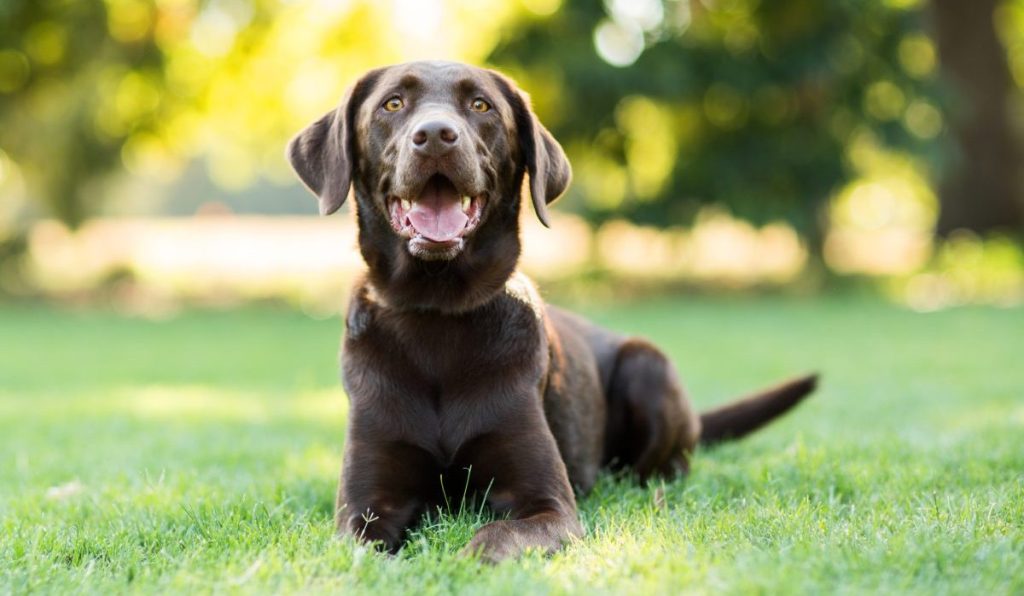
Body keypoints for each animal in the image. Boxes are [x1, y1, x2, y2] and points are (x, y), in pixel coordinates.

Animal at [288, 61, 815, 565]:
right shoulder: (365, 506)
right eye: (393, 103)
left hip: (648, 366)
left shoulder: (548, 504)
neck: (436, 313)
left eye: (480, 105)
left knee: (666, 470)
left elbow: (496, 535)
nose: (436, 134)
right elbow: (362, 552)